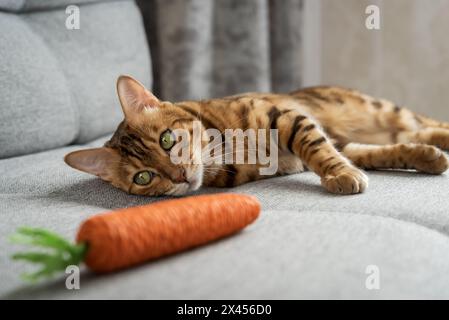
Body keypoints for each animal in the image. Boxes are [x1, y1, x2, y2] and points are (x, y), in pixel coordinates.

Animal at [65, 75, 448, 195]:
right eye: (143, 177)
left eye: (167, 140)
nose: (180, 175)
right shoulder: (341, 143)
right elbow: (374, 154)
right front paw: (423, 157)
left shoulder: (284, 116)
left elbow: (317, 149)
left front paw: (340, 175)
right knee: (411, 134)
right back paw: (432, 153)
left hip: (385, 110)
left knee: (429, 123)